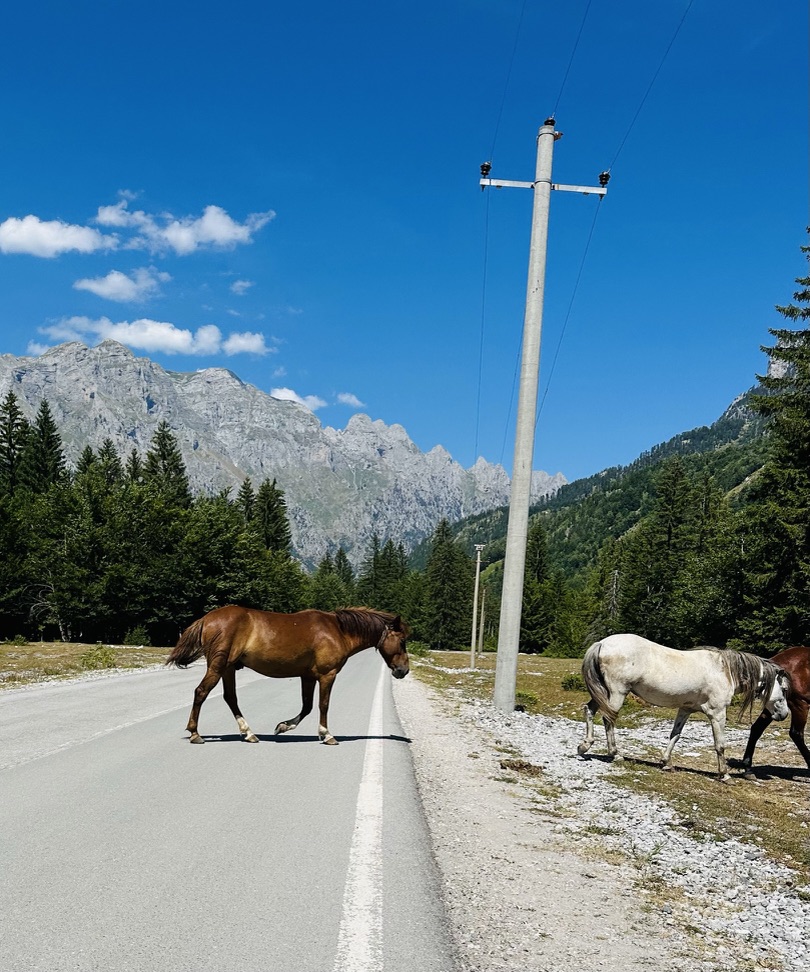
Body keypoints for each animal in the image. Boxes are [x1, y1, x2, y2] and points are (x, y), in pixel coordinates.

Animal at [166, 605, 410, 745]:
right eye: (402, 641)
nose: (403, 670)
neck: (338, 630)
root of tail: (207, 619)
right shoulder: (327, 675)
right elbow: (323, 705)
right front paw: (327, 735)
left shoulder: (308, 677)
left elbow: (307, 706)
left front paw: (283, 726)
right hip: (218, 666)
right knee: (201, 692)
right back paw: (195, 733)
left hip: (227, 668)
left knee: (230, 698)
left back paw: (248, 733)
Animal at [576, 633, 791, 781]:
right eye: (784, 689)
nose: (784, 714)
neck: (725, 671)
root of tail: (602, 643)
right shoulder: (717, 713)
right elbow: (720, 744)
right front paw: (724, 774)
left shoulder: (686, 709)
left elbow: (675, 735)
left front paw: (666, 763)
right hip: (617, 693)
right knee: (608, 719)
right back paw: (615, 754)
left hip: (603, 693)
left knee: (590, 710)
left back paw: (584, 746)